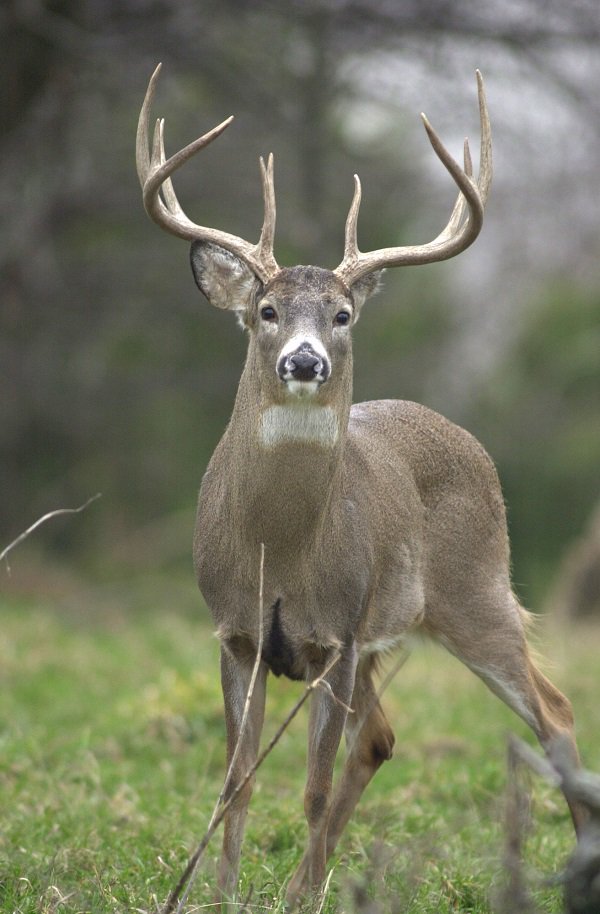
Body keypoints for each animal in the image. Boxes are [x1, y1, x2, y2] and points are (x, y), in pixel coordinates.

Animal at [136, 64, 585, 908]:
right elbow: (237, 783)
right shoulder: (236, 630)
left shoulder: (335, 634)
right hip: (392, 628)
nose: (304, 361)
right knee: (380, 736)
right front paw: (224, 892)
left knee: (556, 710)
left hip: (476, 591)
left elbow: (309, 788)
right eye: (266, 309)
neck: (278, 550)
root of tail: (465, 439)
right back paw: (308, 881)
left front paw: (280, 892)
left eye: (343, 314)